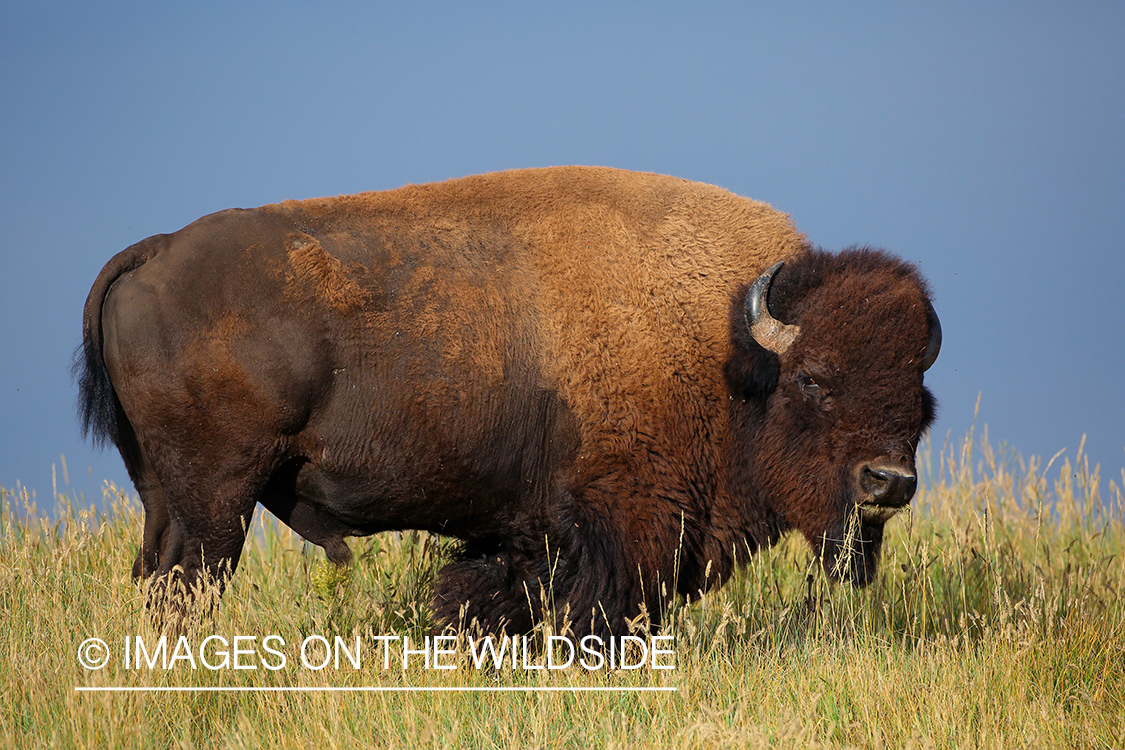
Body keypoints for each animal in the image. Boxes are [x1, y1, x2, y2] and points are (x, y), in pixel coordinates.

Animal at [77, 167, 940, 638]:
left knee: (156, 579)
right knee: (185, 584)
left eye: (920, 400)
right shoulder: (621, 526)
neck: (728, 346)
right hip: (217, 500)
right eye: (813, 379)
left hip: (165, 494)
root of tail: (153, 252)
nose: (886, 483)